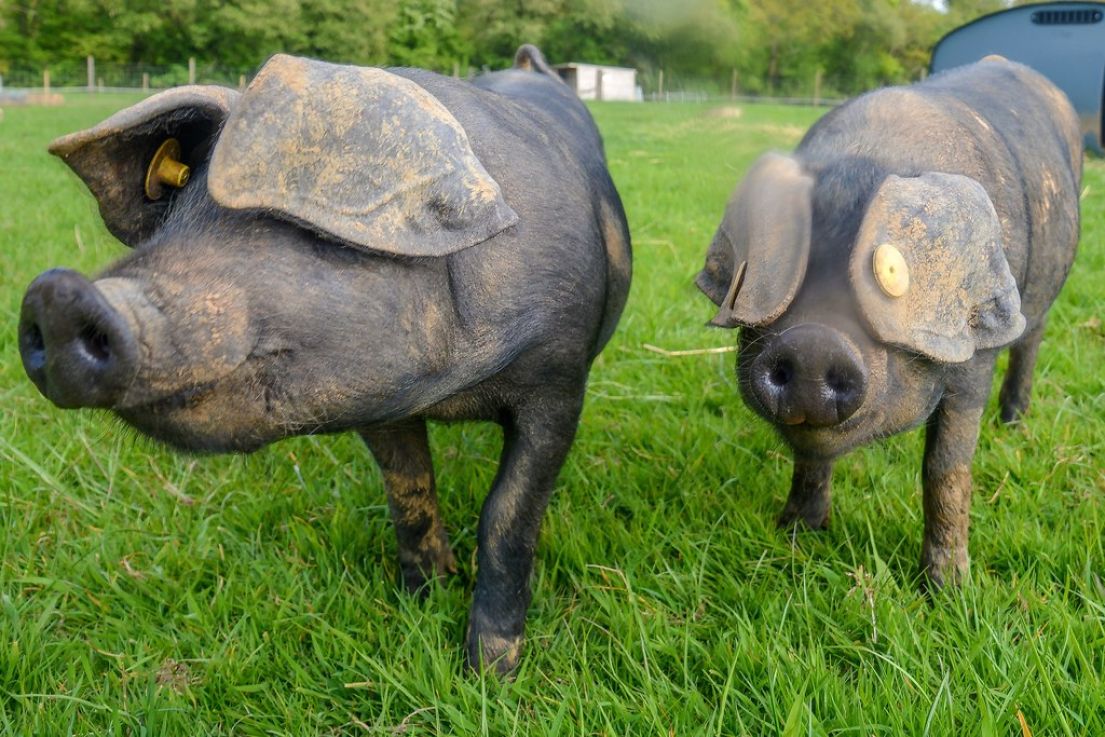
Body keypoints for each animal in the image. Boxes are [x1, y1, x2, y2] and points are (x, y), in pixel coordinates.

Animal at [19, 46, 632, 676]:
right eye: (179, 215)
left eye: (312, 232)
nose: (55, 295)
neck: (452, 391)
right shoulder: (382, 409)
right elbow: (408, 489)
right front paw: (420, 598)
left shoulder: (559, 379)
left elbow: (508, 513)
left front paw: (490, 672)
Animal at [698, 56, 1078, 587]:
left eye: (892, 272)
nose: (813, 344)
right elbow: (810, 456)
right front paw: (794, 532)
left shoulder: (973, 352)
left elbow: (945, 465)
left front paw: (946, 589)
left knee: (1030, 344)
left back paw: (1012, 422)